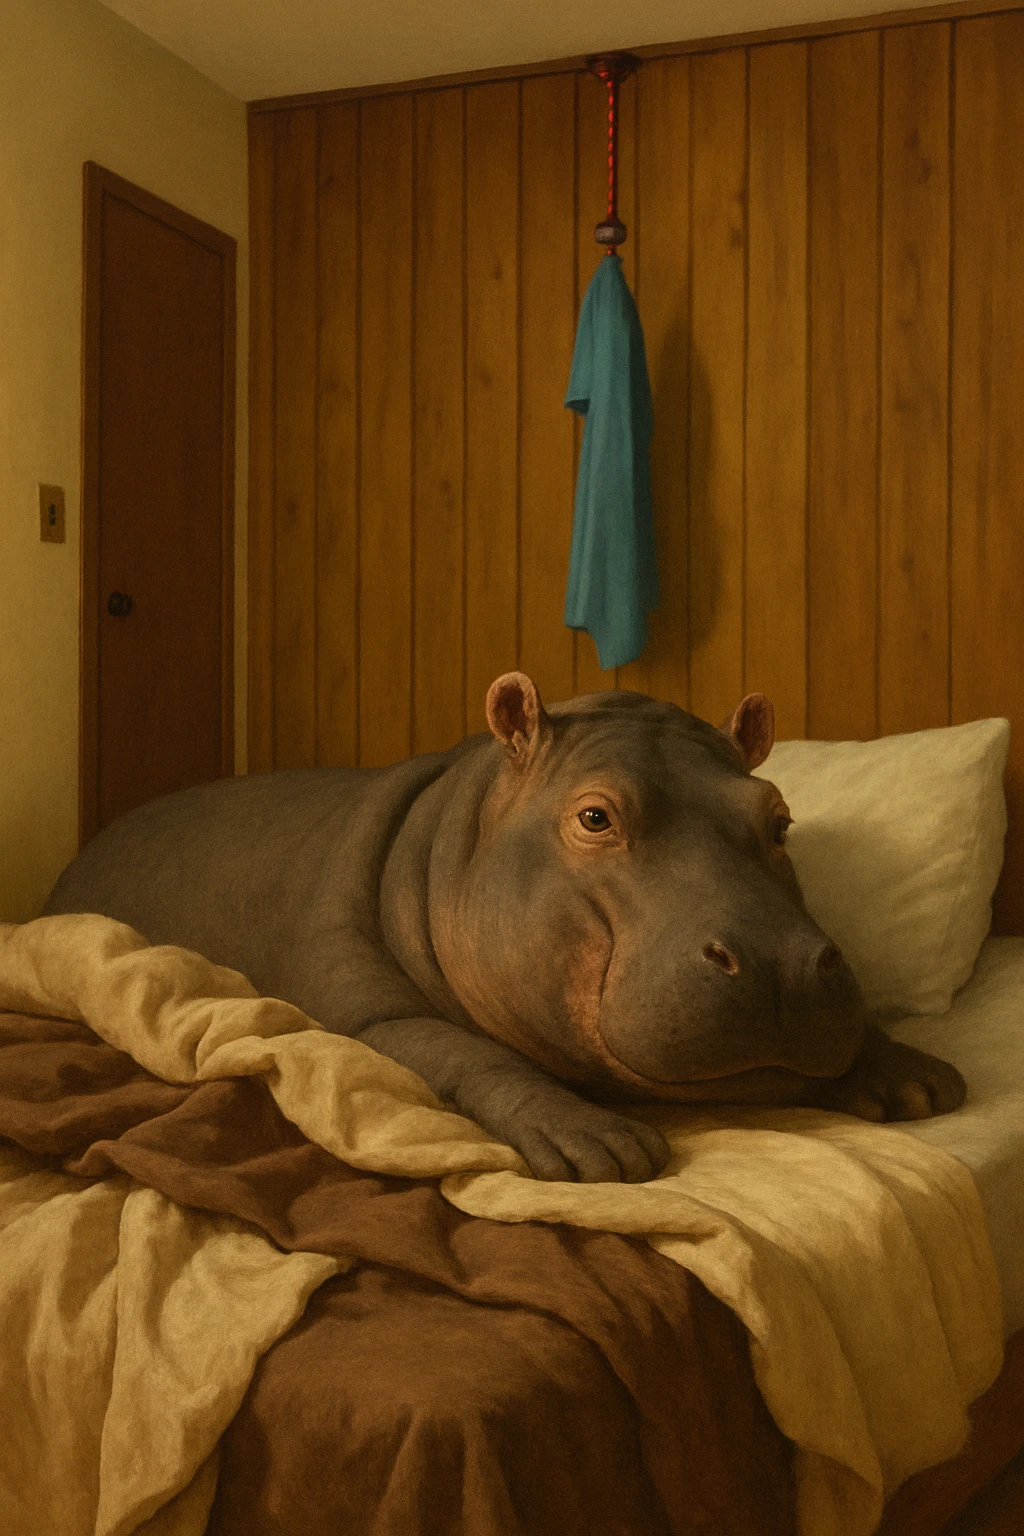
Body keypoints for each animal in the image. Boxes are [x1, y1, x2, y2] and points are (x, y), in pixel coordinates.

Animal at [45, 673, 965, 1182]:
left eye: (778, 817)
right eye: (594, 815)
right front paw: (601, 1146)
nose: (779, 964)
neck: (462, 830)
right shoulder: (362, 1009)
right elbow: (463, 1050)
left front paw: (918, 1080)